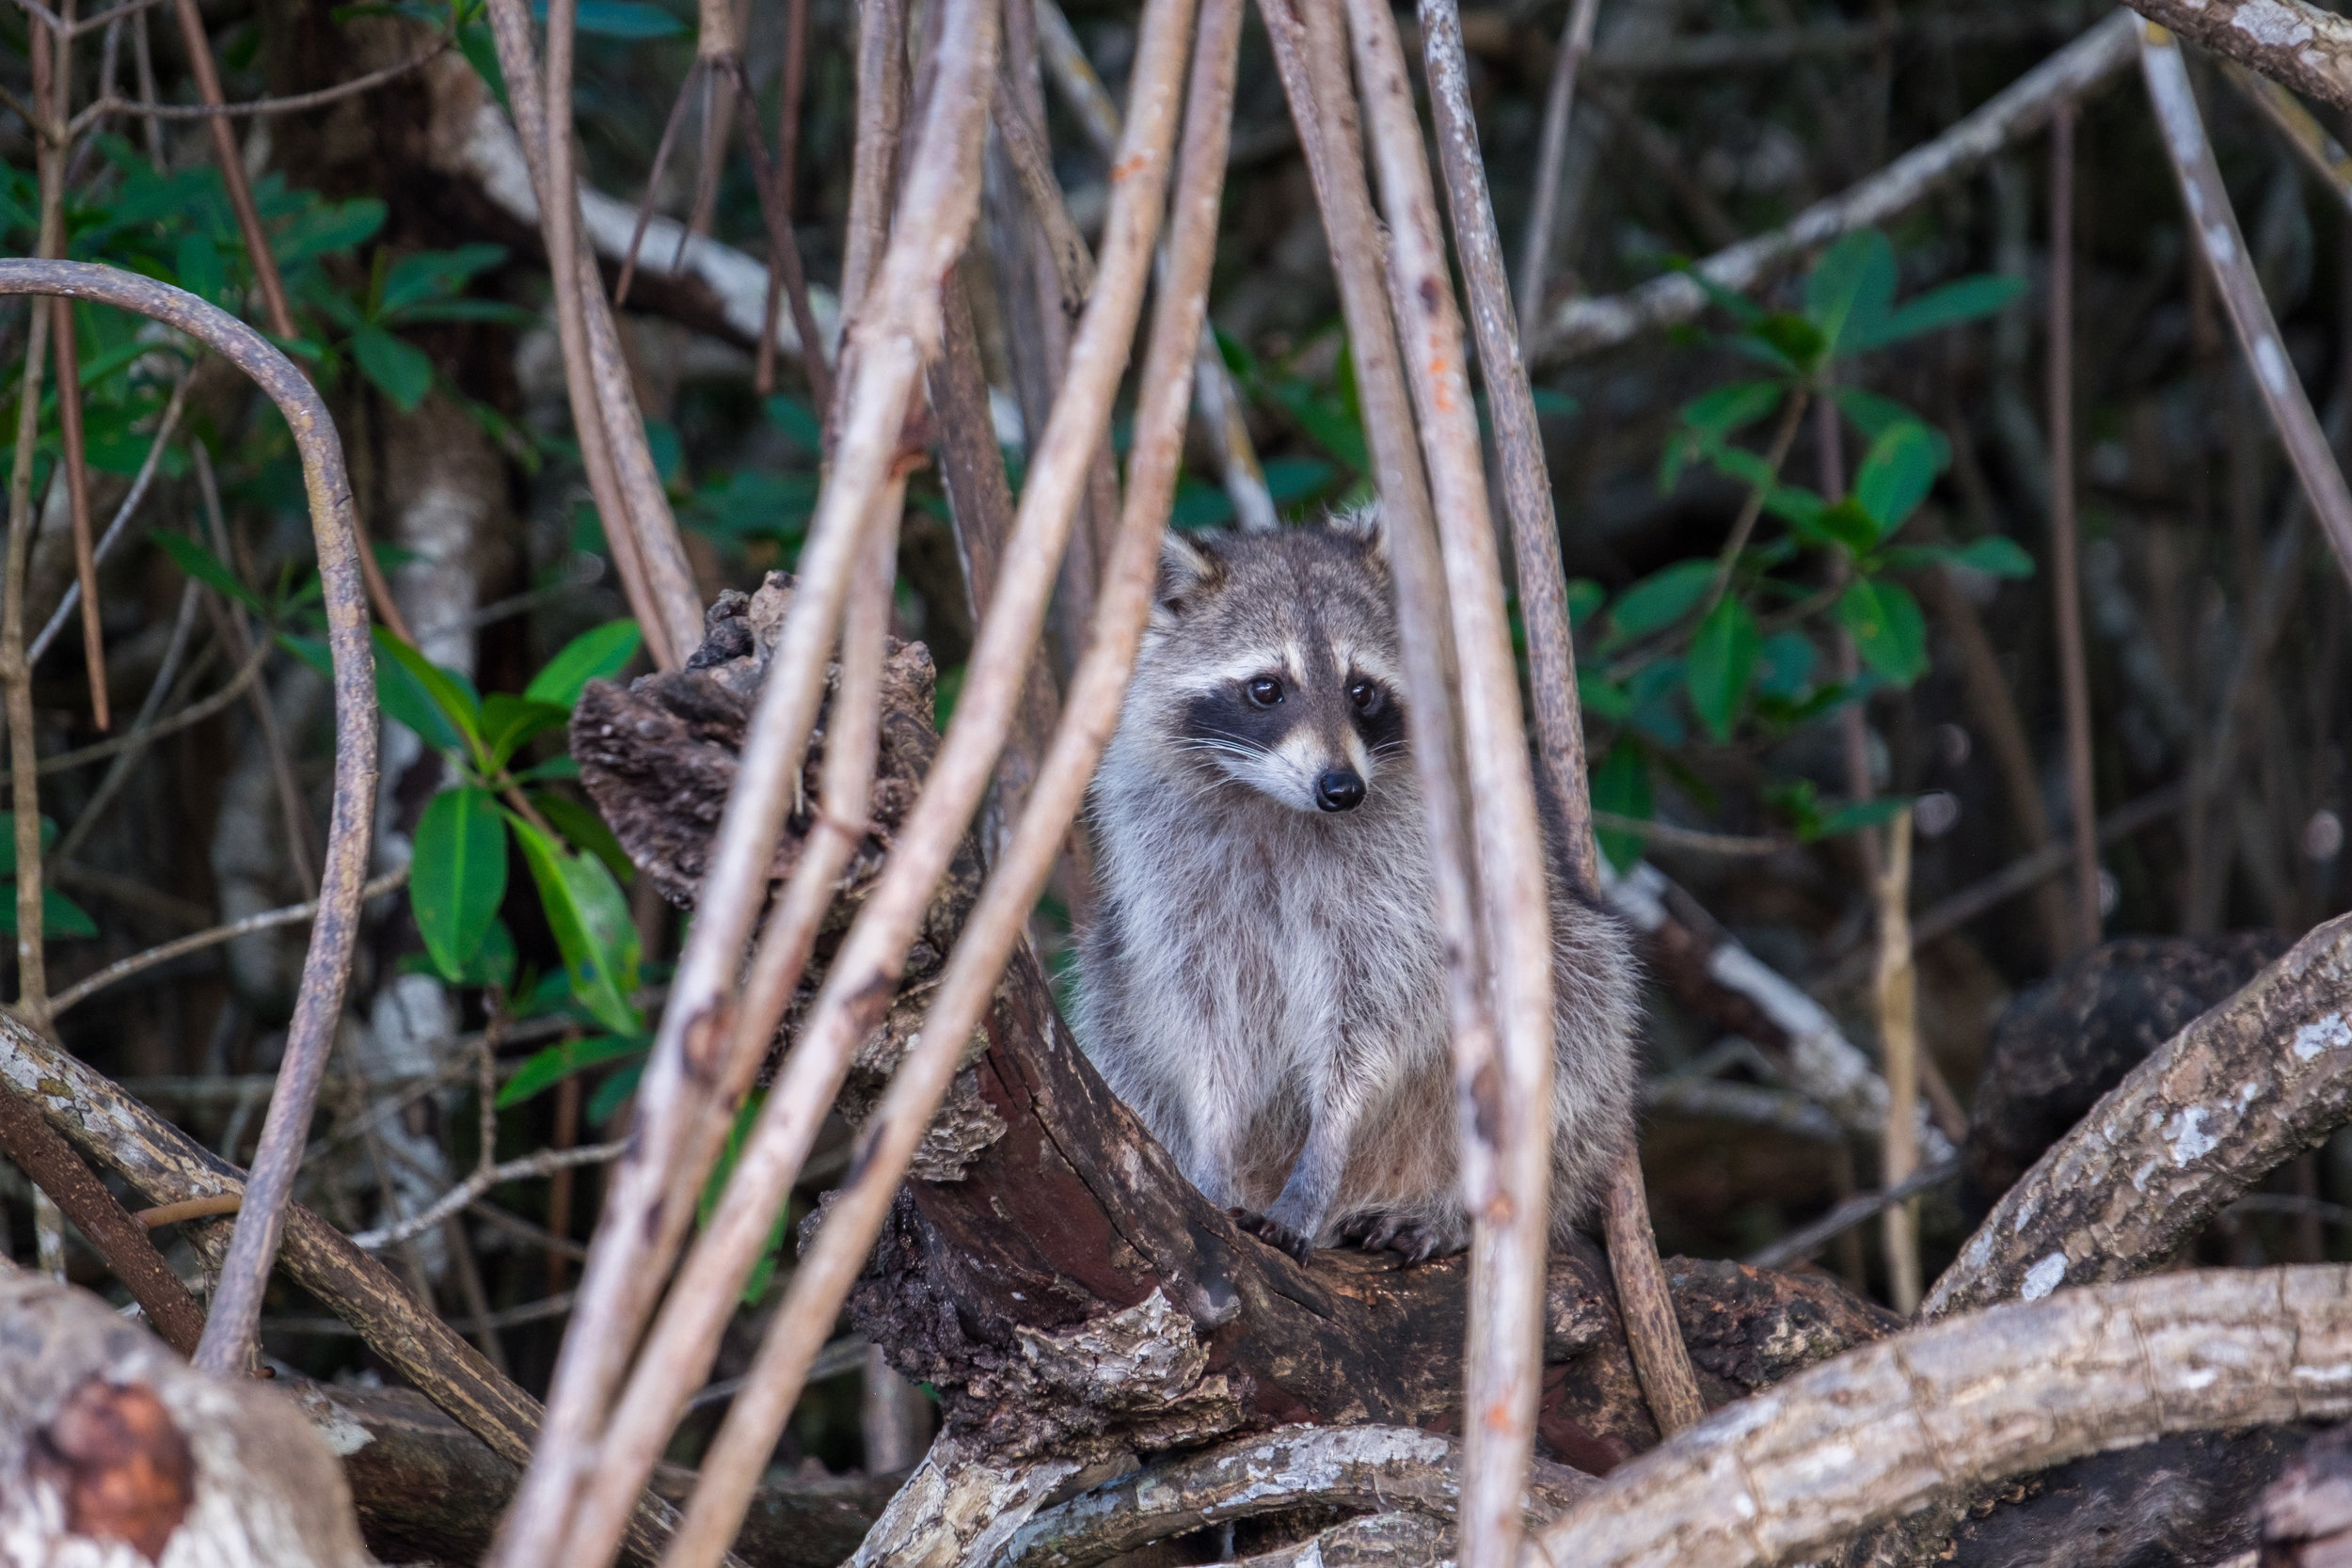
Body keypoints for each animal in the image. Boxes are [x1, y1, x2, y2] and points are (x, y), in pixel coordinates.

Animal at [1073, 515, 1637, 1259]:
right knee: (1112, 997)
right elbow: (1201, 1022)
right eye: (1266, 688)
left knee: (1580, 1017)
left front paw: (1320, 1163)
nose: (1341, 789)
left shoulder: (1408, 880)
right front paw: (1211, 1148)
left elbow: (1370, 1024)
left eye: (1361, 690)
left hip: (1567, 963)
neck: (1279, 803)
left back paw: (1451, 1208)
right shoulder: (1170, 876)